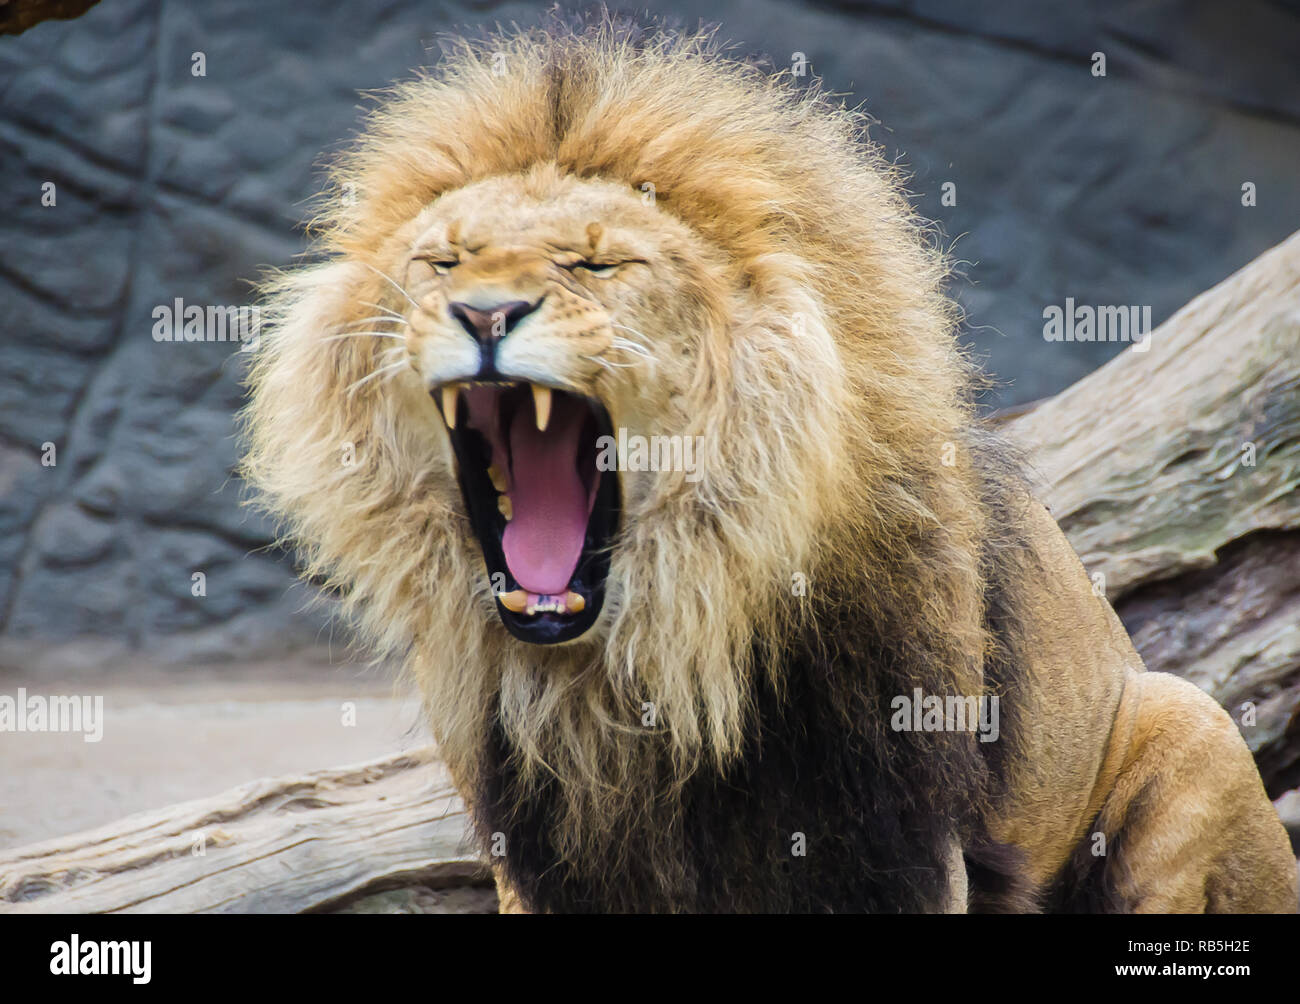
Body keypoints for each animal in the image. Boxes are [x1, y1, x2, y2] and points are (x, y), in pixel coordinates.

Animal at [239, 17, 1297, 912]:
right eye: (444, 263)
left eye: (597, 267)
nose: (486, 313)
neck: (640, 665)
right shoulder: (538, 851)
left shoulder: (893, 839)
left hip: (1188, 720)